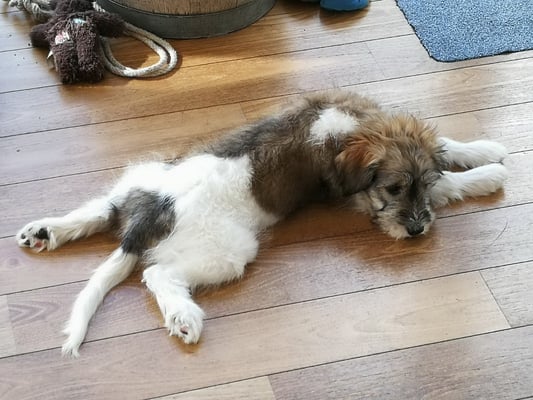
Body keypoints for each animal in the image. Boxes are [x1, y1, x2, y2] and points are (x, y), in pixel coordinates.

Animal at [16, 91, 509, 356]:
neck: (354, 130)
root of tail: (154, 210)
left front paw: (483, 149)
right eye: (393, 189)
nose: (417, 230)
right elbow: (451, 185)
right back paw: (183, 317)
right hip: (227, 251)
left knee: (101, 210)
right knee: (157, 274)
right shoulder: (353, 195)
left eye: (419, 183)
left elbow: (446, 146)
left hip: (140, 176)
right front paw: (488, 174)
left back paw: (45, 231)